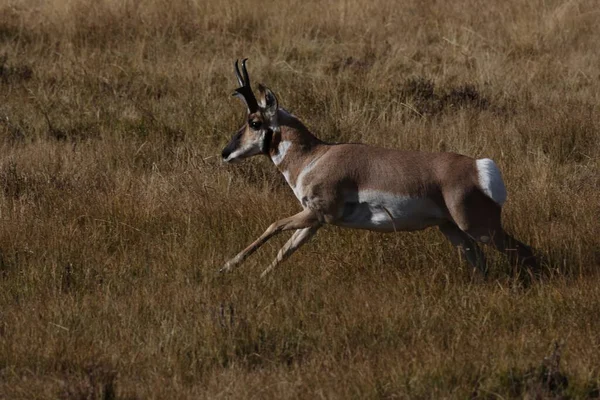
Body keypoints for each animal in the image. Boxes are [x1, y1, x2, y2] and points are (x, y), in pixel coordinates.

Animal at [219, 59, 536, 278]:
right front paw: (260, 277)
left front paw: (228, 265)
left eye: (254, 122)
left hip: (478, 227)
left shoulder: (316, 213)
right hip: (452, 229)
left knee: (526, 252)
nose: (225, 153)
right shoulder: (315, 220)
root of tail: (477, 166)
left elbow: (273, 226)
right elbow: (286, 249)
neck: (315, 156)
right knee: (481, 263)